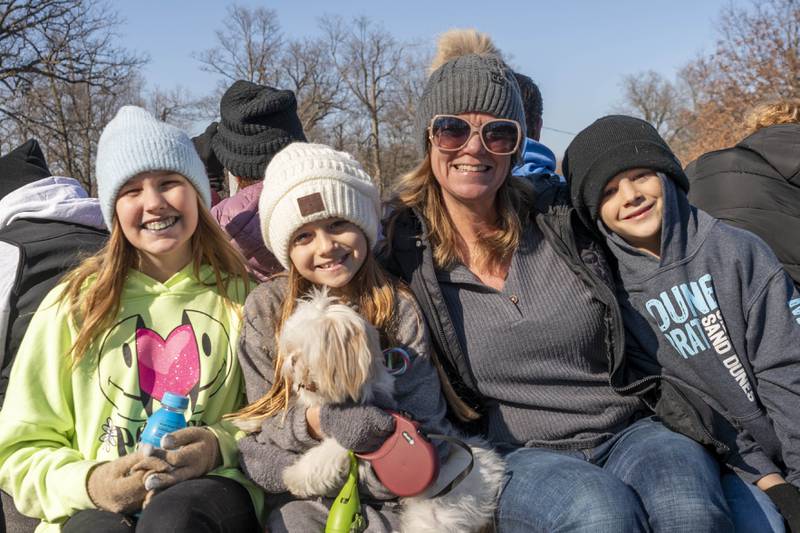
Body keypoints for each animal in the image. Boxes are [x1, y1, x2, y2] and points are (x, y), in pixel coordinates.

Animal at [276, 288, 506, 528]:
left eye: (304, 351)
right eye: (290, 348)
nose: (291, 361)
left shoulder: (362, 435)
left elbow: (324, 455)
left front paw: (294, 476)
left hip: (437, 512)